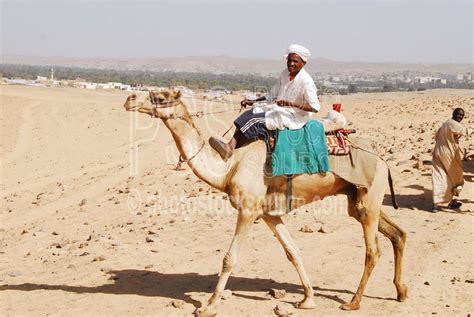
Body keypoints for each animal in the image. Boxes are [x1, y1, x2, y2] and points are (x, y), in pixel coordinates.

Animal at [123, 89, 408, 316]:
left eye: (160, 97)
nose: (130, 99)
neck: (228, 168)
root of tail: (382, 159)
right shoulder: (269, 214)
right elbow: (293, 251)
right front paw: (308, 299)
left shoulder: (248, 210)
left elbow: (229, 258)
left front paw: (209, 306)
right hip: (357, 198)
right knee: (398, 233)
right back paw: (401, 291)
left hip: (370, 194)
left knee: (373, 250)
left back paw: (354, 301)